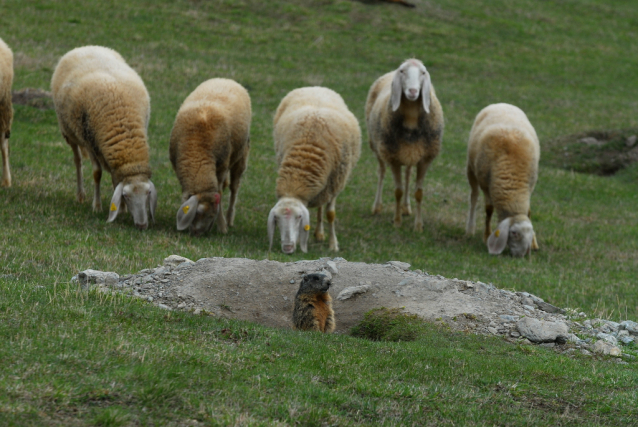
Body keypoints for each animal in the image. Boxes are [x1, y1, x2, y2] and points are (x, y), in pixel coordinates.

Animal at [50, 46, 158, 231]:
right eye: (127, 195)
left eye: (148, 193)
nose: (142, 225)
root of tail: (86, 47)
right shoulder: (90, 143)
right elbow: (97, 173)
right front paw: (97, 206)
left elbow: (115, 177)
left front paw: (121, 209)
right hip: (69, 132)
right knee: (77, 160)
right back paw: (80, 195)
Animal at [171, 78, 254, 236]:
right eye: (198, 212)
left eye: (212, 215)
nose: (198, 234)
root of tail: (227, 79)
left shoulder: (221, 168)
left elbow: (220, 193)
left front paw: (222, 226)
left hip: (241, 156)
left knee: (234, 189)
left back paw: (229, 219)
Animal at [268, 87, 362, 254]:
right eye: (276, 219)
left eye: (299, 217)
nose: (287, 248)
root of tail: (316, 87)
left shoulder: (335, 183)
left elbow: (330, 214)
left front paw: (333, 244)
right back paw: (319, 233)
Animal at [364, 59, 444, 232]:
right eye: (402, 71)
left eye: (423, 72)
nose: (413, 91)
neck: (412, 117)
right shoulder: (393, 158)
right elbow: (398, 192)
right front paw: (397, 221)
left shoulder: (425, 159)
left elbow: (419, 193)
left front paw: (418, 226)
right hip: (377, 145)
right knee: (381, 172)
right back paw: (377, 206)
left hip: (409, 153)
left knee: (407, 175)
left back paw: (406, 208)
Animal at [468, 103, 544, 258]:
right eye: (513, 233)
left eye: (529, 233)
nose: (520, 256)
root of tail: (501, 103)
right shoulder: (487, 185)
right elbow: (489, 210)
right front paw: (486, 236)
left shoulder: (530, 186)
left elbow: (528, 212)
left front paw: (534, 244)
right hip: (471, 169)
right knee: (473, 197)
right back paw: (470, 229)